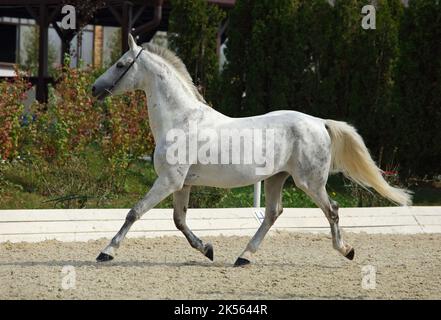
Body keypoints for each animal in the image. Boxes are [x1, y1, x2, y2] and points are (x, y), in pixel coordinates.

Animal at [91, 34, 410, 264]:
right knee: (272, 214)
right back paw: (243, 256)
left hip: (309, 182)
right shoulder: (181, 183)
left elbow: (134, 212)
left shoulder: (168, 181)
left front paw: (107, 252)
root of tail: (320, 123)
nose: (94, 89)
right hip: (276, 178)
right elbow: (179, 221)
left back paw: (346, 250)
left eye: (121, 64)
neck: (181, 119)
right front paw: (207, 249)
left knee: (331, 210)